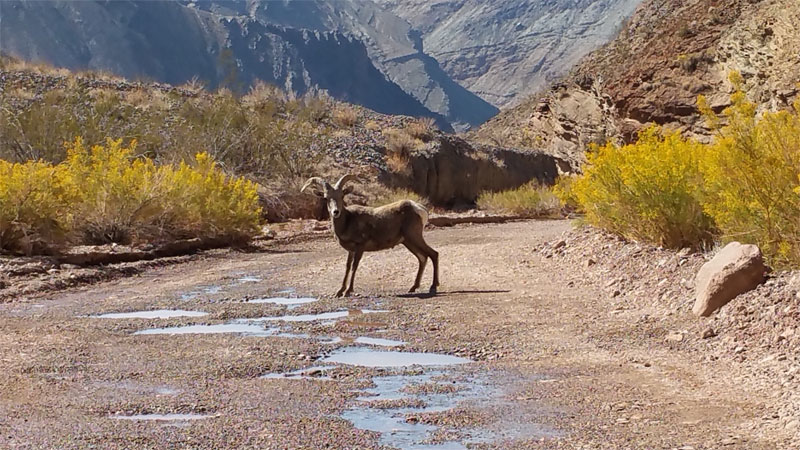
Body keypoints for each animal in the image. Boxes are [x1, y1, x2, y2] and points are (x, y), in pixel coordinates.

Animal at [302, 174, 440, 298]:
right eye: (326, 198)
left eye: (342, 195)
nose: (335, 212)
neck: (348, 221)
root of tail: (420, 209)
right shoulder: (351, 251)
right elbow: (347, 267)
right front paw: (339, 292)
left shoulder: (360, 247)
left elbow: (354, 266)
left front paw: (348, 291)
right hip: (408, 242)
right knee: (422, 258)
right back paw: (413, 287)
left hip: (414, 237)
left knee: (433, 254)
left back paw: (433, 287)